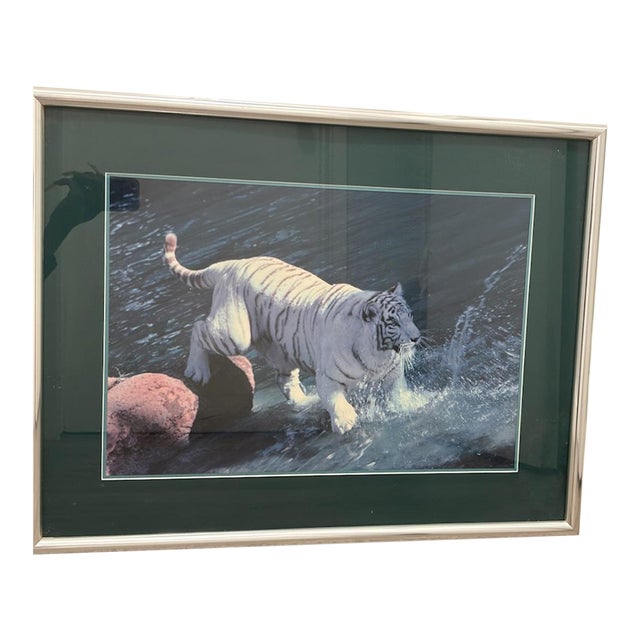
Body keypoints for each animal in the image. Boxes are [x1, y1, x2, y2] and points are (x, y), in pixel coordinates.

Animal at [163, 232, 421, 434]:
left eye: (410, 315)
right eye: (393, 322)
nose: (416, 337)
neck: (378, 353)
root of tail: (233, 263)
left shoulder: (391, 373)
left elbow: (398, 392)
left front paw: (409, 405)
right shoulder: (328, 377)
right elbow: (334, 400)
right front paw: (345, 422)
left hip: (281, 350)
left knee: (284, 380)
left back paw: (305, 403)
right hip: (233, 334)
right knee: (198, 328)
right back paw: (197, 371)